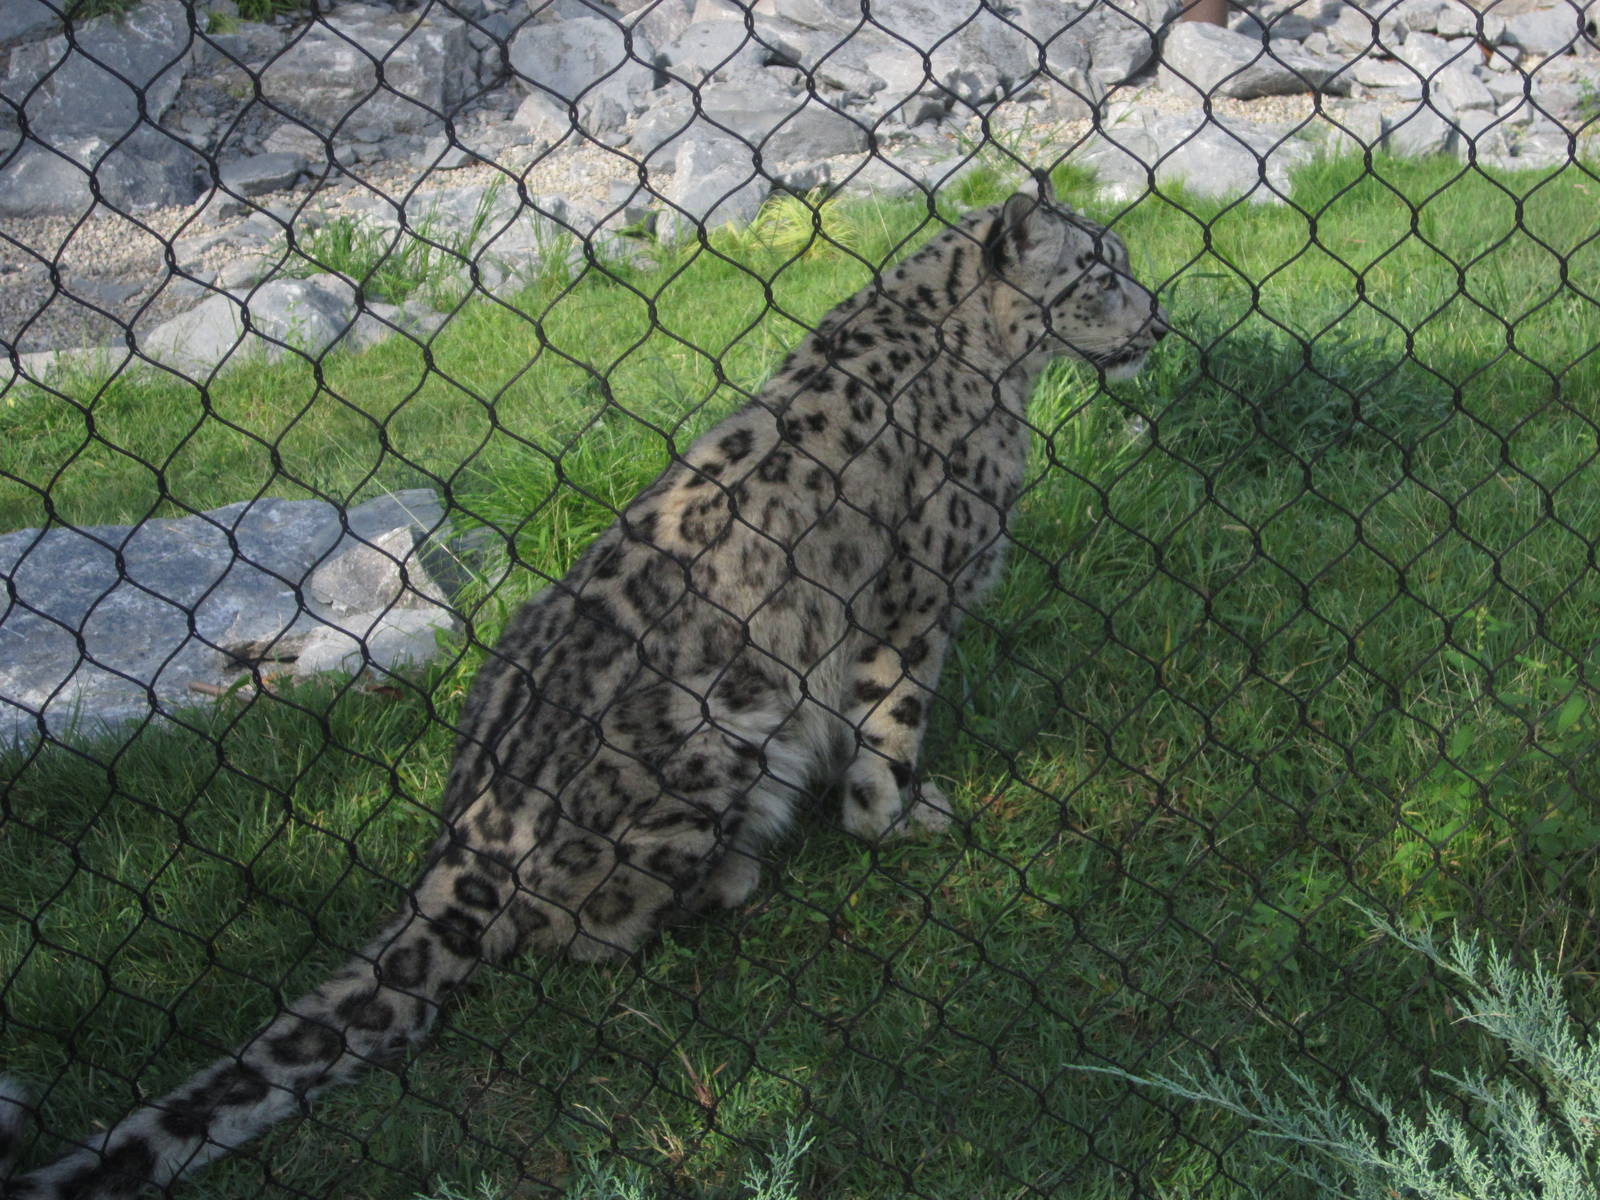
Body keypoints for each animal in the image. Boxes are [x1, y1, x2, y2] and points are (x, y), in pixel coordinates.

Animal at [0, 175, 1168, 1199]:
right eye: (1098, 272)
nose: (1155, 321)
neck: (979, 358)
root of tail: (458, 848)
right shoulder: (917, 597)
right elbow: (891, 723)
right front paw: (903, 817)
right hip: (717, 733)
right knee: (586, 938)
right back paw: (730, 880)